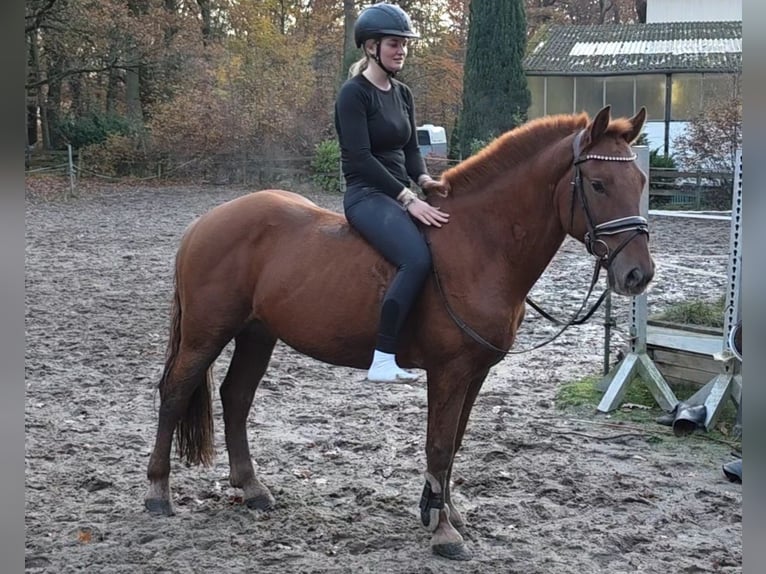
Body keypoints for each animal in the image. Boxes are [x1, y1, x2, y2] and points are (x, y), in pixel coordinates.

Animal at [145, 105, 654, 561]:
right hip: (206, 334)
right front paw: (444, 532)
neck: (480, 245)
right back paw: (157, 493)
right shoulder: (449, 372)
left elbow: (454, 443)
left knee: (236, 397)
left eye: (641, 183)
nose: (638, 275)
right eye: (598, 184)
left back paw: (251, 489)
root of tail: (206, 222)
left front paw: (441, 511)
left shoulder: (475, 373)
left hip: (256, 334)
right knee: (175, 393)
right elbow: (440, 446)